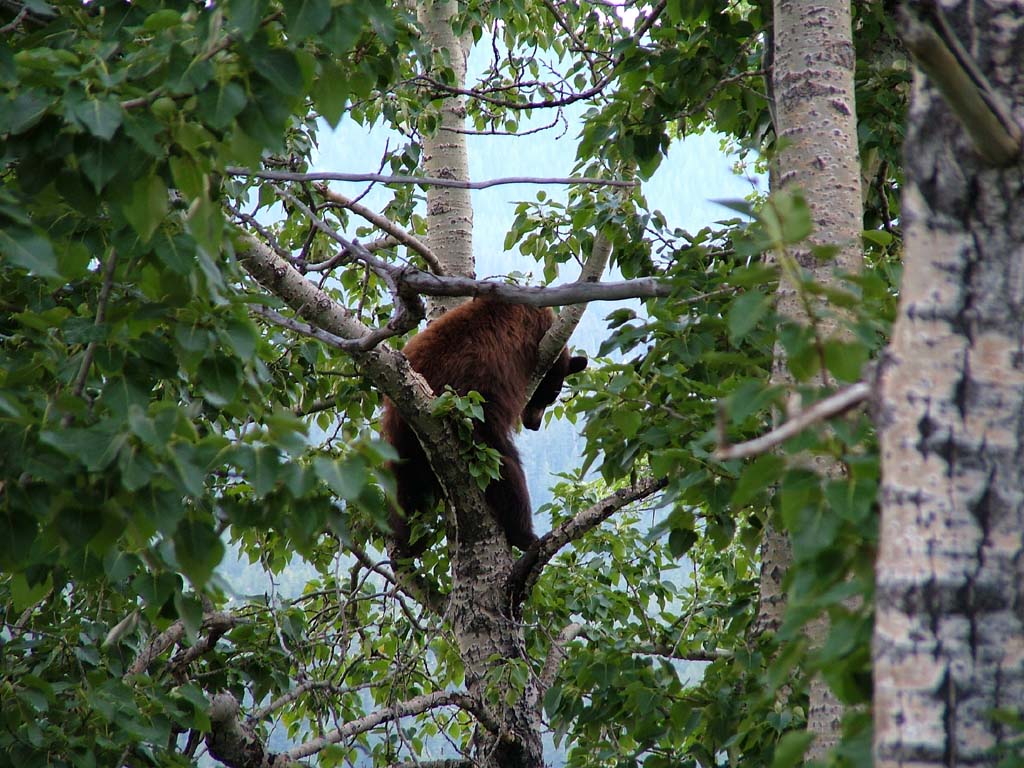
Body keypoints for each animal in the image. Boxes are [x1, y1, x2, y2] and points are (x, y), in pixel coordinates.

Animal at [381, 297, 588, 556]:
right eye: (550, 397)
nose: (534, 425)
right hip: (470, 421)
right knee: (502, 464)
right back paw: (524, 534)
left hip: (402, 442)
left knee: (405, 487)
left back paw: (407, 542)